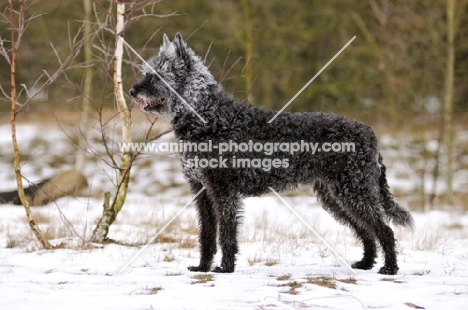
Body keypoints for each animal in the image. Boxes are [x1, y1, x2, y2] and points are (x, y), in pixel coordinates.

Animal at [129, 32, 414, 274]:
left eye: (156, 76)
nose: (132, 91)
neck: (208, 116)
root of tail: (369, 133)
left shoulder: (223, 191)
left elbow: (227, 234)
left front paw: (225, 268)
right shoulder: (202, 191)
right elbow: (207, 235)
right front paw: (202, 267)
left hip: (354, 192)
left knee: (384, 230)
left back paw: (390, 268)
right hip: (336, 196)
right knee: (367, 231)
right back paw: (366, 263)